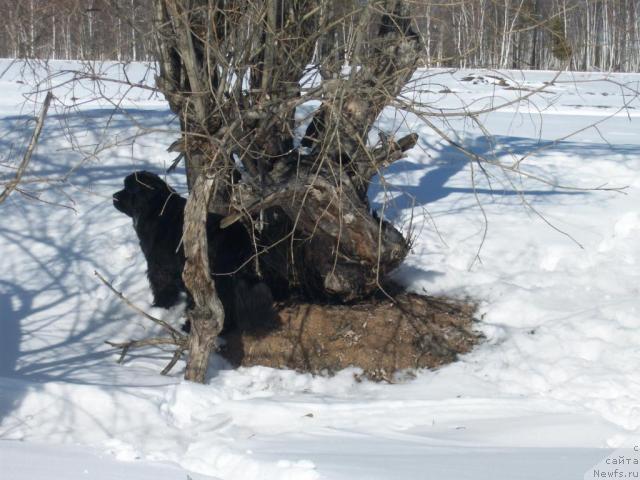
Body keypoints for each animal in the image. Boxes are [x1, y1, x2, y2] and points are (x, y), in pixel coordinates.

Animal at [112, 172, 272, 334]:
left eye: (128, 189)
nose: (114, 196)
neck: (155, 209)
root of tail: (240, 238)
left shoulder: (158, 265)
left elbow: (160, 285)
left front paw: (159, 306)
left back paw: (190, 327)